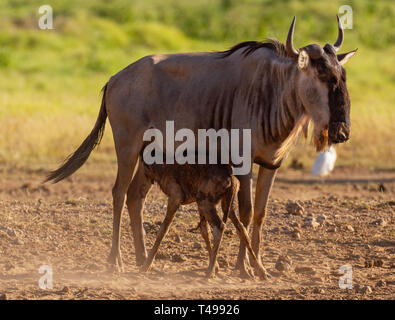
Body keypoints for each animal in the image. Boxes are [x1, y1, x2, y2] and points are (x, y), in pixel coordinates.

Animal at [138, 161, 268, 278]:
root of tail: (230, 178)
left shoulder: (175, 198)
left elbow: (163, 230)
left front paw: (146, 266)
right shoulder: (197, 205)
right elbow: (205, 231)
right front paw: (216, 266)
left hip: (204, 202)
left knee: (220, 227)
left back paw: (209, 272)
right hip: (226, 206)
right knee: (241, 228)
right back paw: (260, 271)